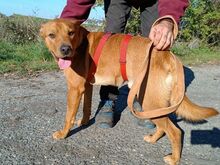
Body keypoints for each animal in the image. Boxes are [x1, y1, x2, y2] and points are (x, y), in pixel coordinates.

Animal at [40, 18, 218, 164]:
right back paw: (153, 139)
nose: (65, 49)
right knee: (164, 126)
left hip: (149, 101)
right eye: (51, 35)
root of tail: (168, 55)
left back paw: (174, 159)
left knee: (175, 132)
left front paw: (63, 134)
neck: (80, 43)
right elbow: (86, 108)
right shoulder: (87, 86)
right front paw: (83, 122)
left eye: (70, 33)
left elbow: (68, 116)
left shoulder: (74, 88)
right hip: (152, 102)